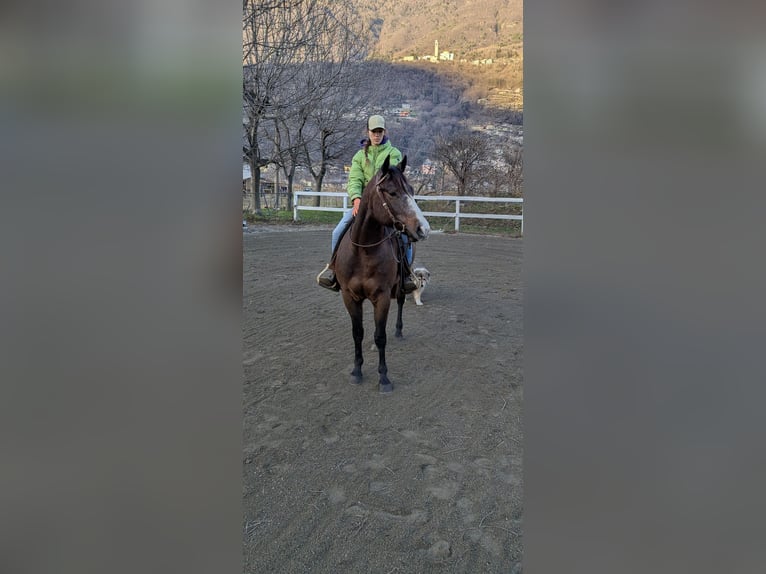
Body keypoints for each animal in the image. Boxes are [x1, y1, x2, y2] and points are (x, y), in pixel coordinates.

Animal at [333, 154, 430, 393]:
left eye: (412, 190)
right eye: (393, 192)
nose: (423, 228)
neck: (364, 251)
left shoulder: (382, 297)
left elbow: (380, 336)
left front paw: (384, 377)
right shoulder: (349, 296)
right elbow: (358, 333)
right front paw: (356, 371)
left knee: (401, 302)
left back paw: (399, 331)